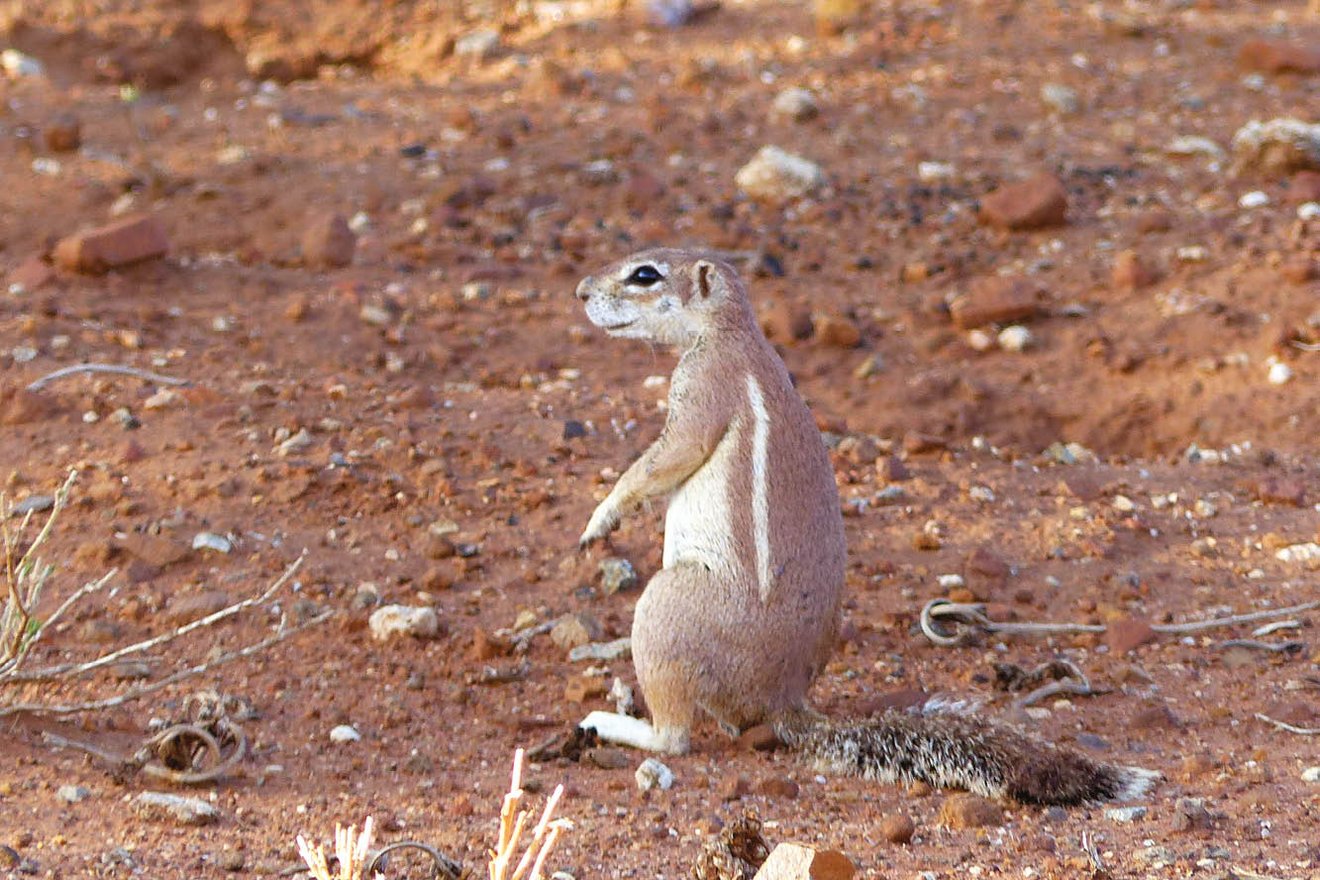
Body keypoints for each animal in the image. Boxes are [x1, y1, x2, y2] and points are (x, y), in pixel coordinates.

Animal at [572, 249, 1151, 807]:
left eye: (645, 275)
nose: (580, 291)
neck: (729, 331)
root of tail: (782, 700)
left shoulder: (702, 391)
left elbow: (663, 460)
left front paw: (599, 519)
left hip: (665, 606)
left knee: (674, 737)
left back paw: (611, 721)